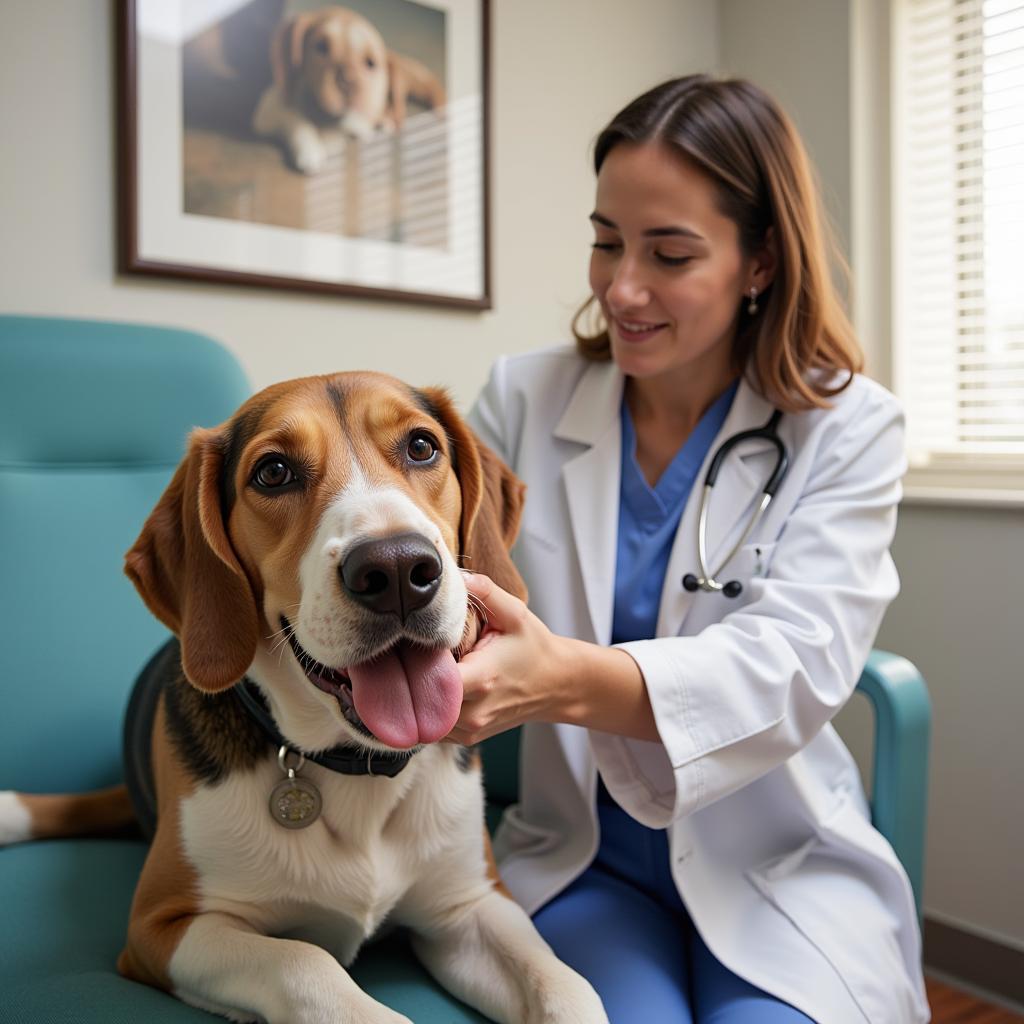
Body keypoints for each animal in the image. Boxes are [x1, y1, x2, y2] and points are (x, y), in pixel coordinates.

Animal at [0, 370, 606, 1024]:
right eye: (273, 472)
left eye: (422, 447)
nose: (397, 569)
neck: (357, 768)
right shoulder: (164, 927)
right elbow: (304, 963)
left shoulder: (470, 905)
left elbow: (567, 986)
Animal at [252, 6, 448, 173]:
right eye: (321, 46)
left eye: (370, 62)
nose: (348, 80)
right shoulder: (269, 109)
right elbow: (298, 120)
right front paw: (310, 150)